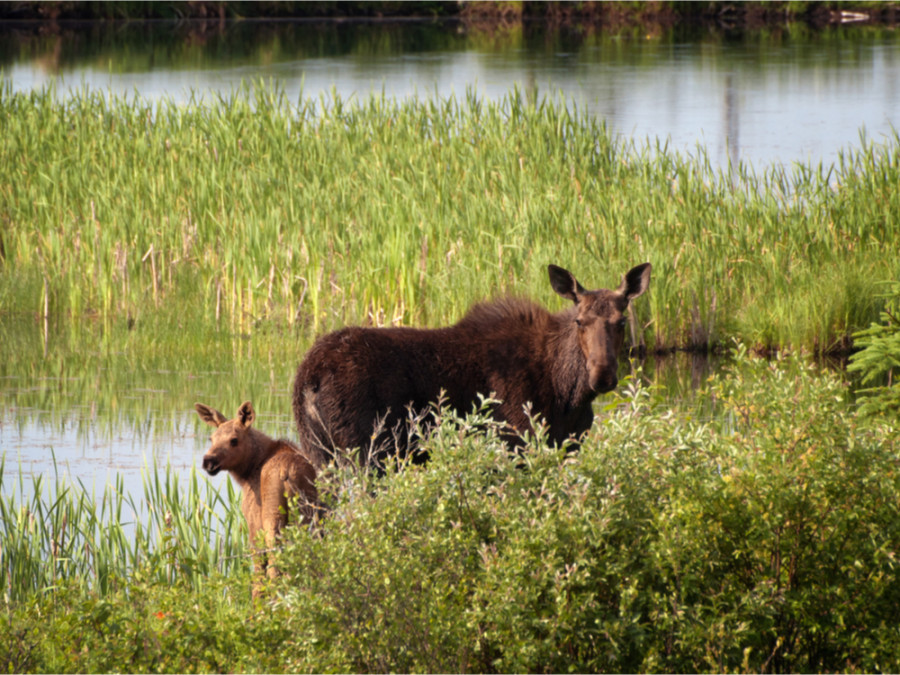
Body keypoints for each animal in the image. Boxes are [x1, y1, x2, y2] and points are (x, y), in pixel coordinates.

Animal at [195, 398, 318, 584]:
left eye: (234, 440)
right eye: (211, 438)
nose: (208, 461)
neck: (247, 472)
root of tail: (286, 471)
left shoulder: (252, 521)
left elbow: (259, 571)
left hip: (272, 518)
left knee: (274, 563)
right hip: (305, 515)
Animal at [292, 262, 652, 472]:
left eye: (621, 322)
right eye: (579, 321)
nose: (602, 375)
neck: (568, 393)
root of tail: (308, 379)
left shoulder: (568, 445)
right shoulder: (517, 441)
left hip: (321, 455)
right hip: (368, 453)